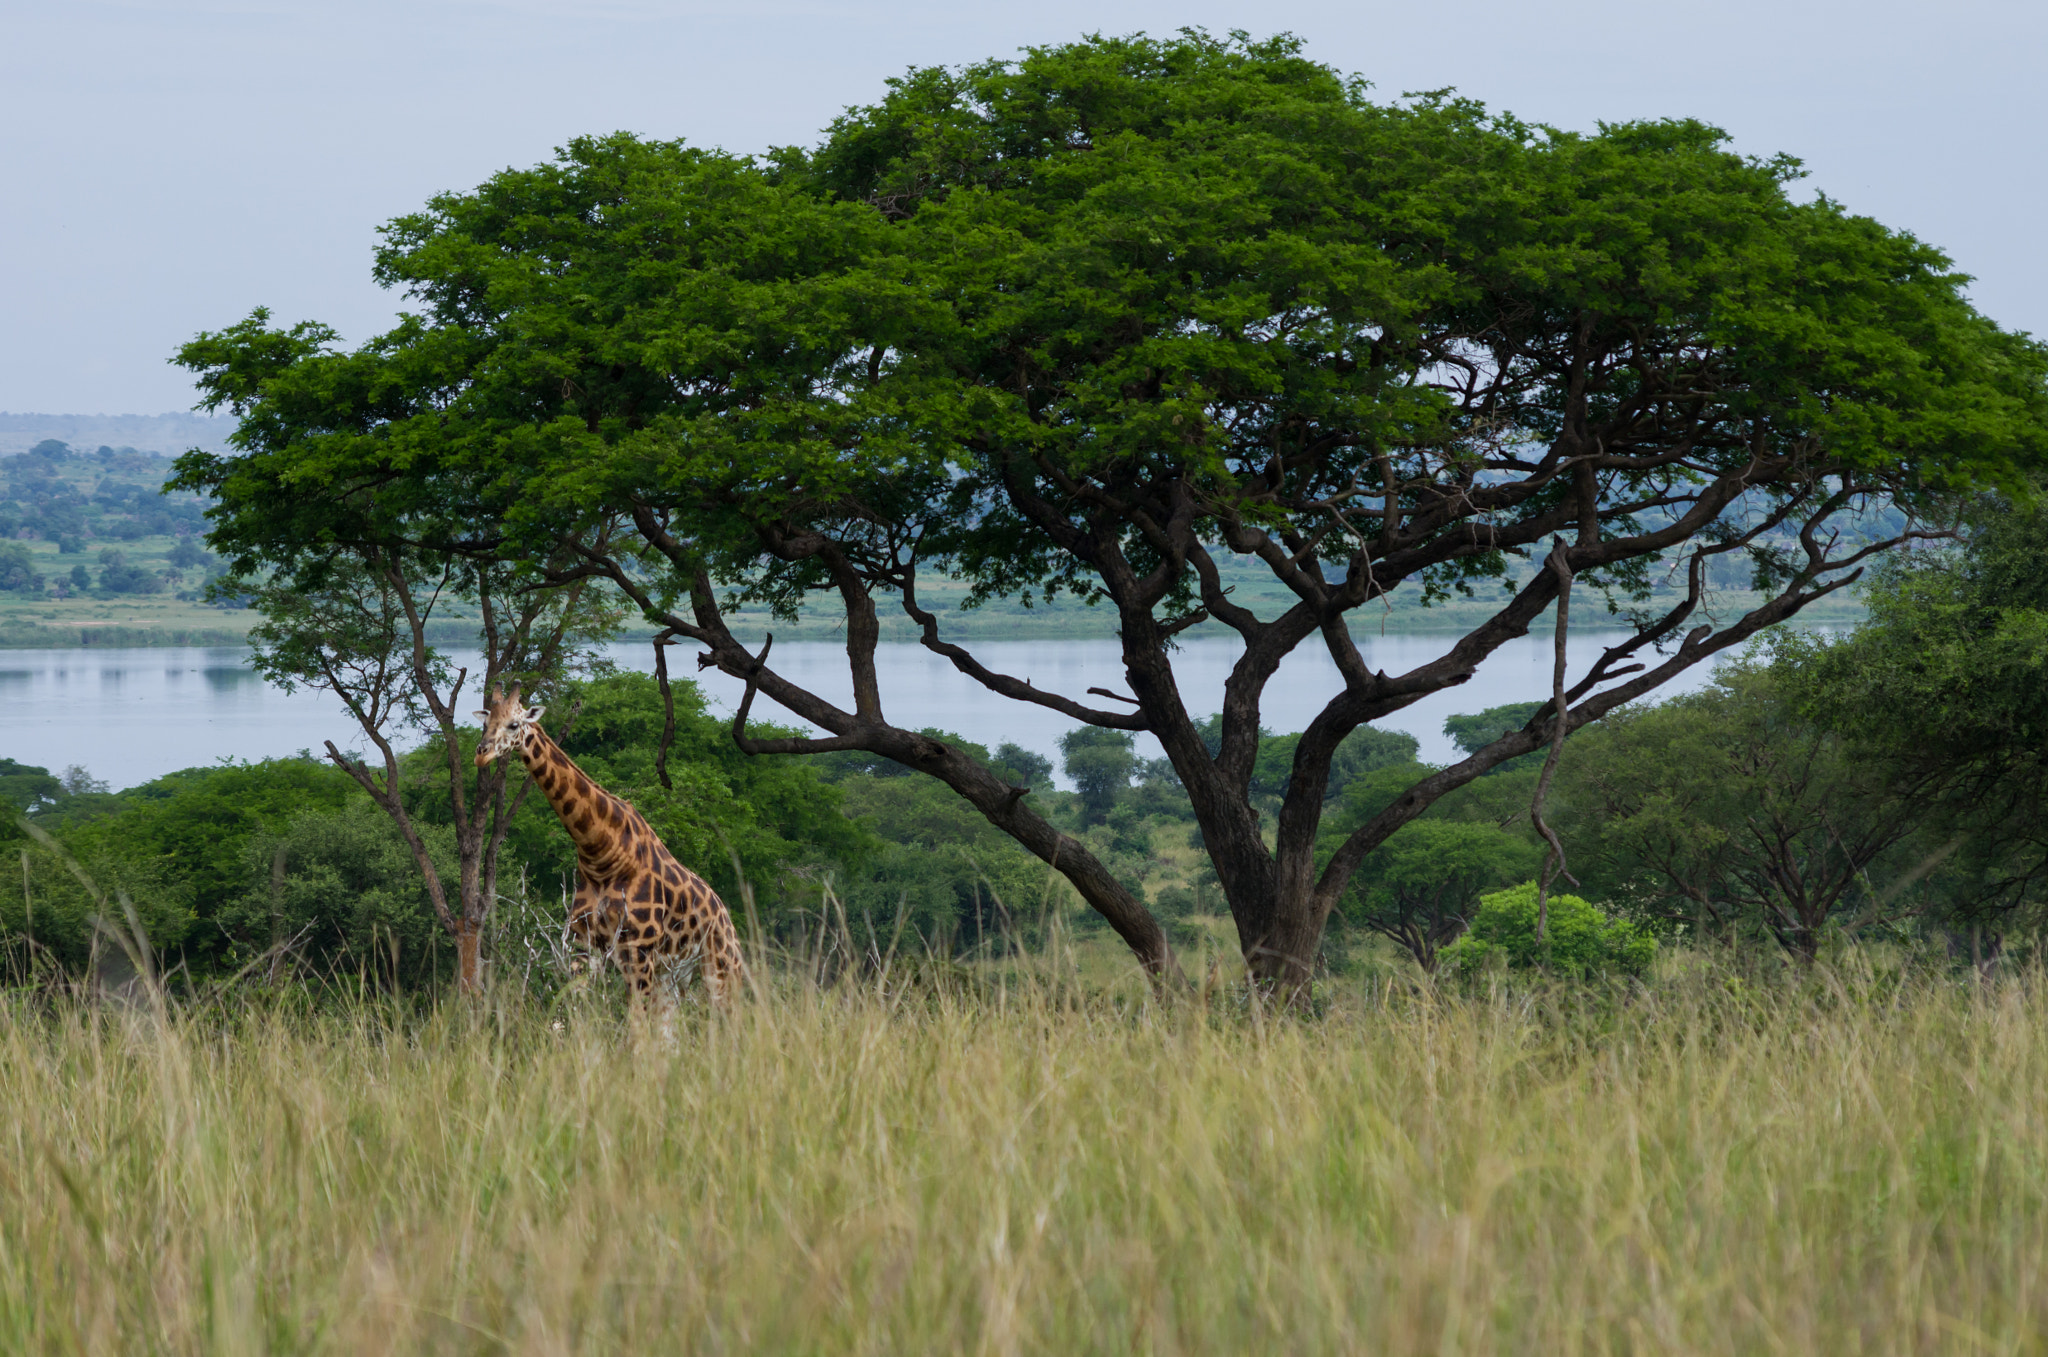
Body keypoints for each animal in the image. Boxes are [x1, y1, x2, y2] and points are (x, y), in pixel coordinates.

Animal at [474, 684, 747, 1012]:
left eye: (514, 724)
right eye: (486, 723)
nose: (481, 754)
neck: (601, 852)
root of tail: (726, 916)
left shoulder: (638, 947)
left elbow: (636, 1019)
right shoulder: (584, 943)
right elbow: (572, 1008)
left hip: (720, 967)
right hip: (673, 976)